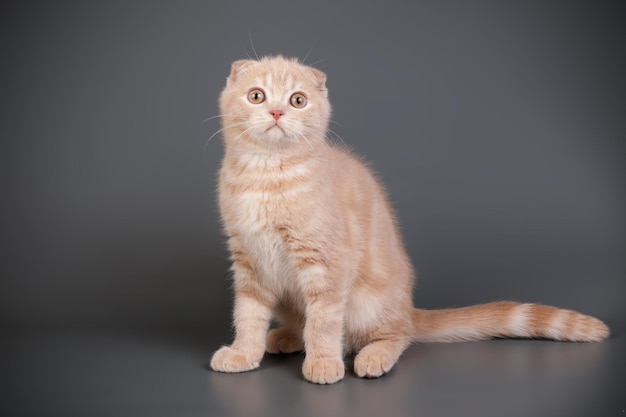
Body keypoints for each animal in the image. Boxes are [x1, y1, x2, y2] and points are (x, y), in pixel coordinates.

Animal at [207, 55, 608, 384]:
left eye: (297, 100)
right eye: (256, 96)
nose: (277, 113)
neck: (266, 176)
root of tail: (407, 310)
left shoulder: (327, 264)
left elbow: (324, 319)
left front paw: (323, 362)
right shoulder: (247, 260)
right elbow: (248, 314)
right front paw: (244, 352)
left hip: (369, 305)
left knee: (396, 336)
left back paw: (372, 356)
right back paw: (284, 336)